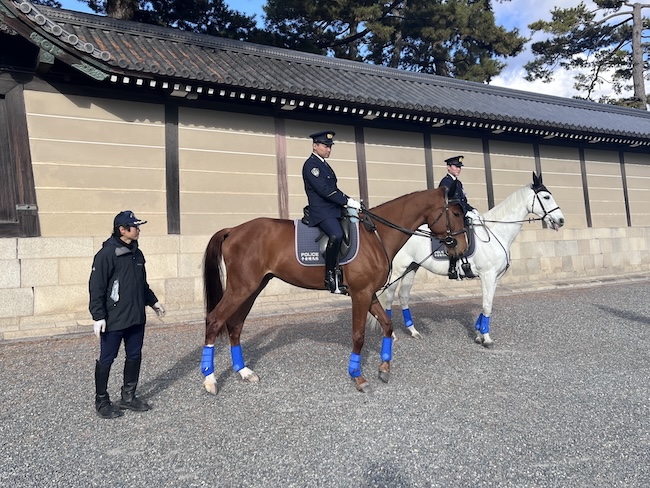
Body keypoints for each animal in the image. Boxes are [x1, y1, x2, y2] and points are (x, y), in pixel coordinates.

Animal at [201, 184, 468, 395]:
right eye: (456, 213)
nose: (462, 248)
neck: (376, 234)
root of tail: (233, 230)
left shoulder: (369, 294)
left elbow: (387, 325)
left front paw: (384, 368)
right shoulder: (360, 294)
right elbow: (358, 336)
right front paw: (358, 377)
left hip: (253, 288)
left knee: (235, 325)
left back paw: (244, 372)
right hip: (241, 288)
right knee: (215, 321)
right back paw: (210, 380)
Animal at [379, 172, 564, 347]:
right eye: (546, 197)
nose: (561, 220)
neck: (495, 232)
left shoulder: (494, 277)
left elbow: (487, 304)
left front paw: (478, 333)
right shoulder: (487, 275)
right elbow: (486, 305)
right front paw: (487, 338)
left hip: (412, 267)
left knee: (403, 296)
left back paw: (413, 331)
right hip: (398, 269)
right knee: (389, 297)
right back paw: (392, 334)